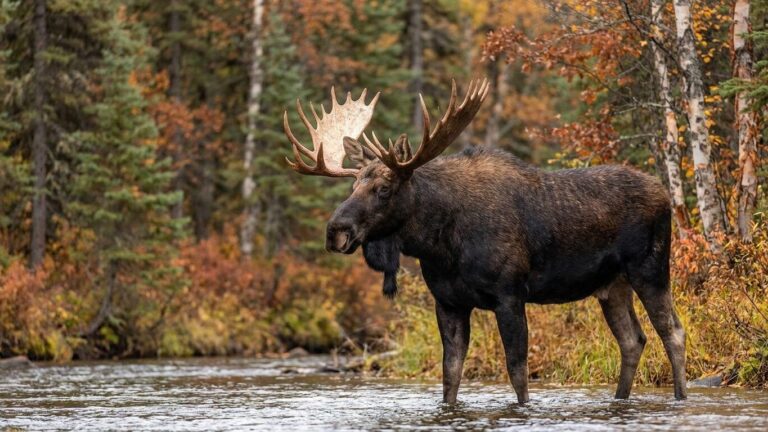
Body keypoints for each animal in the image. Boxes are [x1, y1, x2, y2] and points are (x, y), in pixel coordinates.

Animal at [282, 78, 687, 404]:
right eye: (352, 186)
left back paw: (680, 398)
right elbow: (450, 375)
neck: (439, 244)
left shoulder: (510, 295)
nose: (335, 230)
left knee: (673, 332)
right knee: (633, 340)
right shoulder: (448, 302)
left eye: (384, 188)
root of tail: (666, 195)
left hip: (650, 268)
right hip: (611, 286)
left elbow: (517, 371)